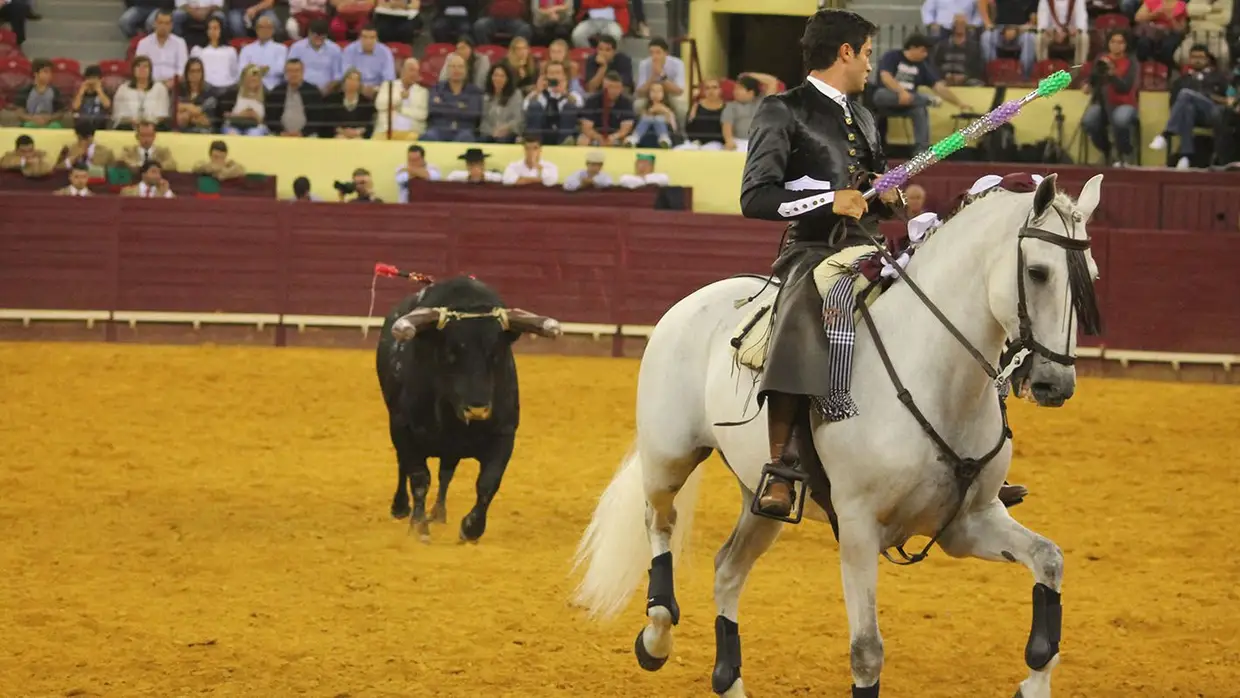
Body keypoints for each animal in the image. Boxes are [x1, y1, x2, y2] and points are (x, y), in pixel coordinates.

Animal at [369, 276, 560, 543]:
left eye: (496, 354)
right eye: (450, 354)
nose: (477, 410)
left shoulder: (505, 434)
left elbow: (488, 482)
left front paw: (471, 528)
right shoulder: (403, 429)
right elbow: (418, 477)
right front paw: (418, 527)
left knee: (445, 473)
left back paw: (439, 513)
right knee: (403, 466)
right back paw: (401, 507)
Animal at [570, 171, 1106, 698]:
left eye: (1091, 275)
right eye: (1038, 272)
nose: (1054, 384)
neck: (936, 376)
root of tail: (692, 302)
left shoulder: (968, 522)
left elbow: (1049, 560)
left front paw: (1034, 683)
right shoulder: (858, 527)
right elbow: (866, 652)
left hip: (760, 499)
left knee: (726, 568)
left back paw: (727, 677)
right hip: (669, 456)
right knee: (659, 520)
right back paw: (656, 635)